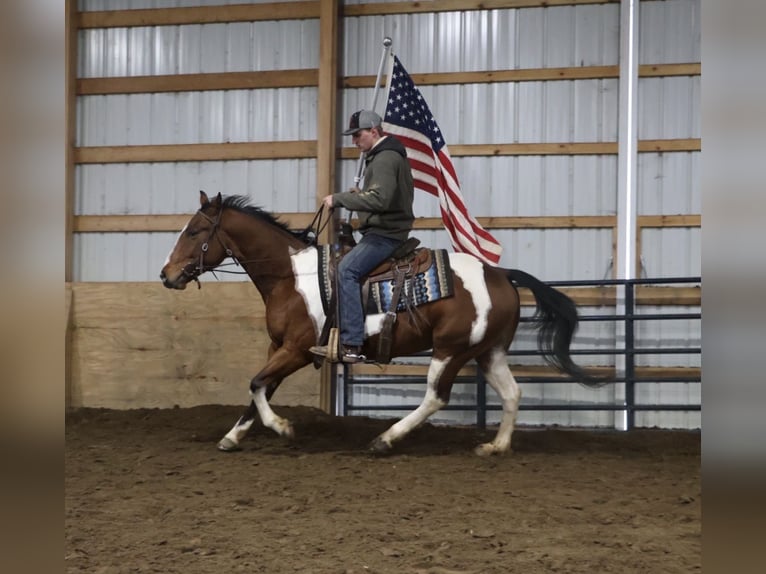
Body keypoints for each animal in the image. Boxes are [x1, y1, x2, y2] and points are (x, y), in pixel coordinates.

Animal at [160, 191, 601, 455]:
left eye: (195, 230)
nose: (167, 275)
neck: (292, 275)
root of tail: (502, 275)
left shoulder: (297, 350)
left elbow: (256, 383)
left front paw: (282, 428)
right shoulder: (279, 347)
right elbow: (260, 387)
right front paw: (233, 436)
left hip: (451, 350)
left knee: (435, 397)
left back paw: (386, 439)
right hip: (487, 352)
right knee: (512, 393)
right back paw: (496, 447)